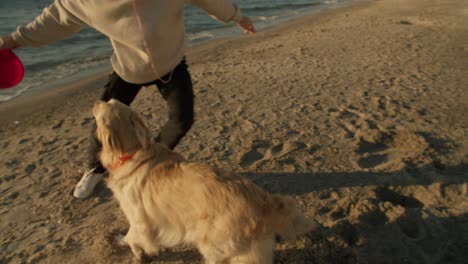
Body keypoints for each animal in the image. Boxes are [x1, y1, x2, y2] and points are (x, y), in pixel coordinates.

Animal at [92, 99, 318, 264]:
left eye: (106, 104)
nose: (96, 101)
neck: (132, 152)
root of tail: (264, 201)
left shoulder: (139, 220)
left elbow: (132, 237)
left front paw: (134, 250)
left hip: (215, 246)